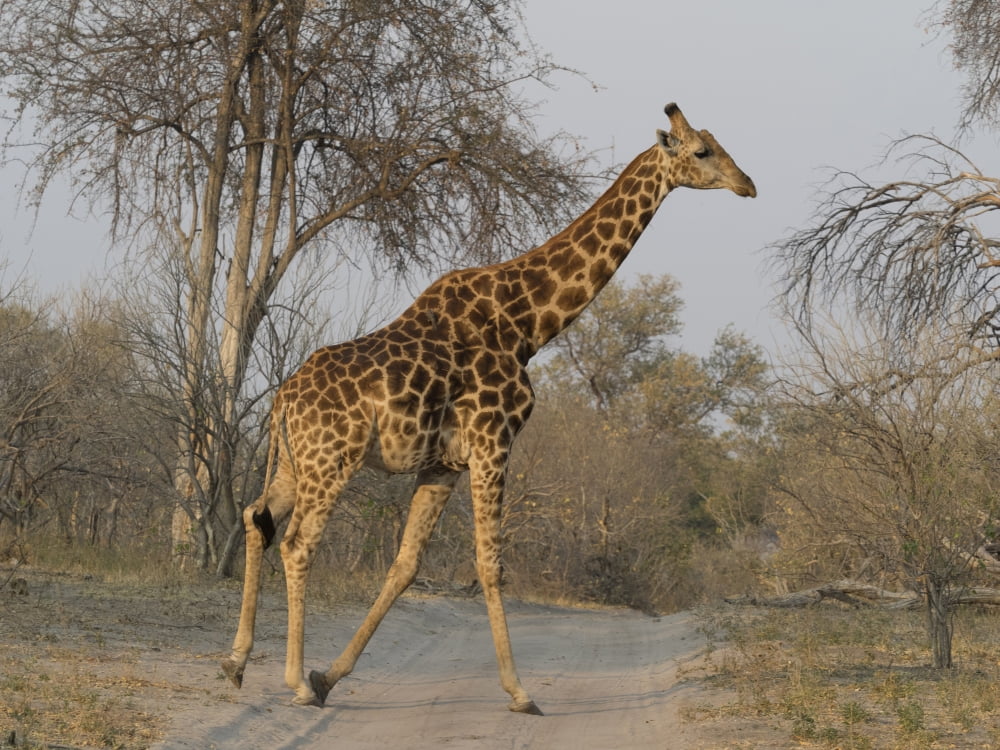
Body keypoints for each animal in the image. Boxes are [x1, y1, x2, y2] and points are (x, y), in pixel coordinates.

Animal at [221, 102, 756, 713]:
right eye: (702, 152)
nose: (748, 184)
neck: (528, 324)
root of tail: (282, 399)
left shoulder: (442, 463)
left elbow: (406, 564)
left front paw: (329, 676)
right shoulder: (493, 439)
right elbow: (490, 564)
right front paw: (521, 693)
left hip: (296, 461)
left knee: (255, 518)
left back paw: (237, 663)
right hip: (333, 459)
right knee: (296, 543)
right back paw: (291, 679)